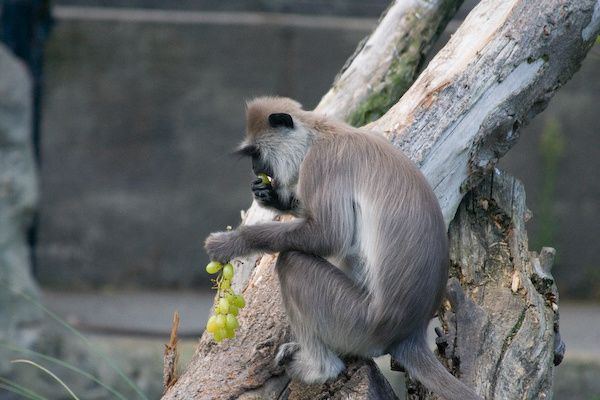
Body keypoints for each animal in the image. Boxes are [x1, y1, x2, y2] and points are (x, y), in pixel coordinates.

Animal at [205, 97, 482, 400]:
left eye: (256, 153)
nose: (255, 168)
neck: (321, 133)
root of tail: (409, 333)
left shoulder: (322, 159)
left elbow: (329, 236)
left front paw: (233, 243)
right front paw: (275, 198)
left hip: (357, 321)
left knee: (292, 262)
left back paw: (320, 368)